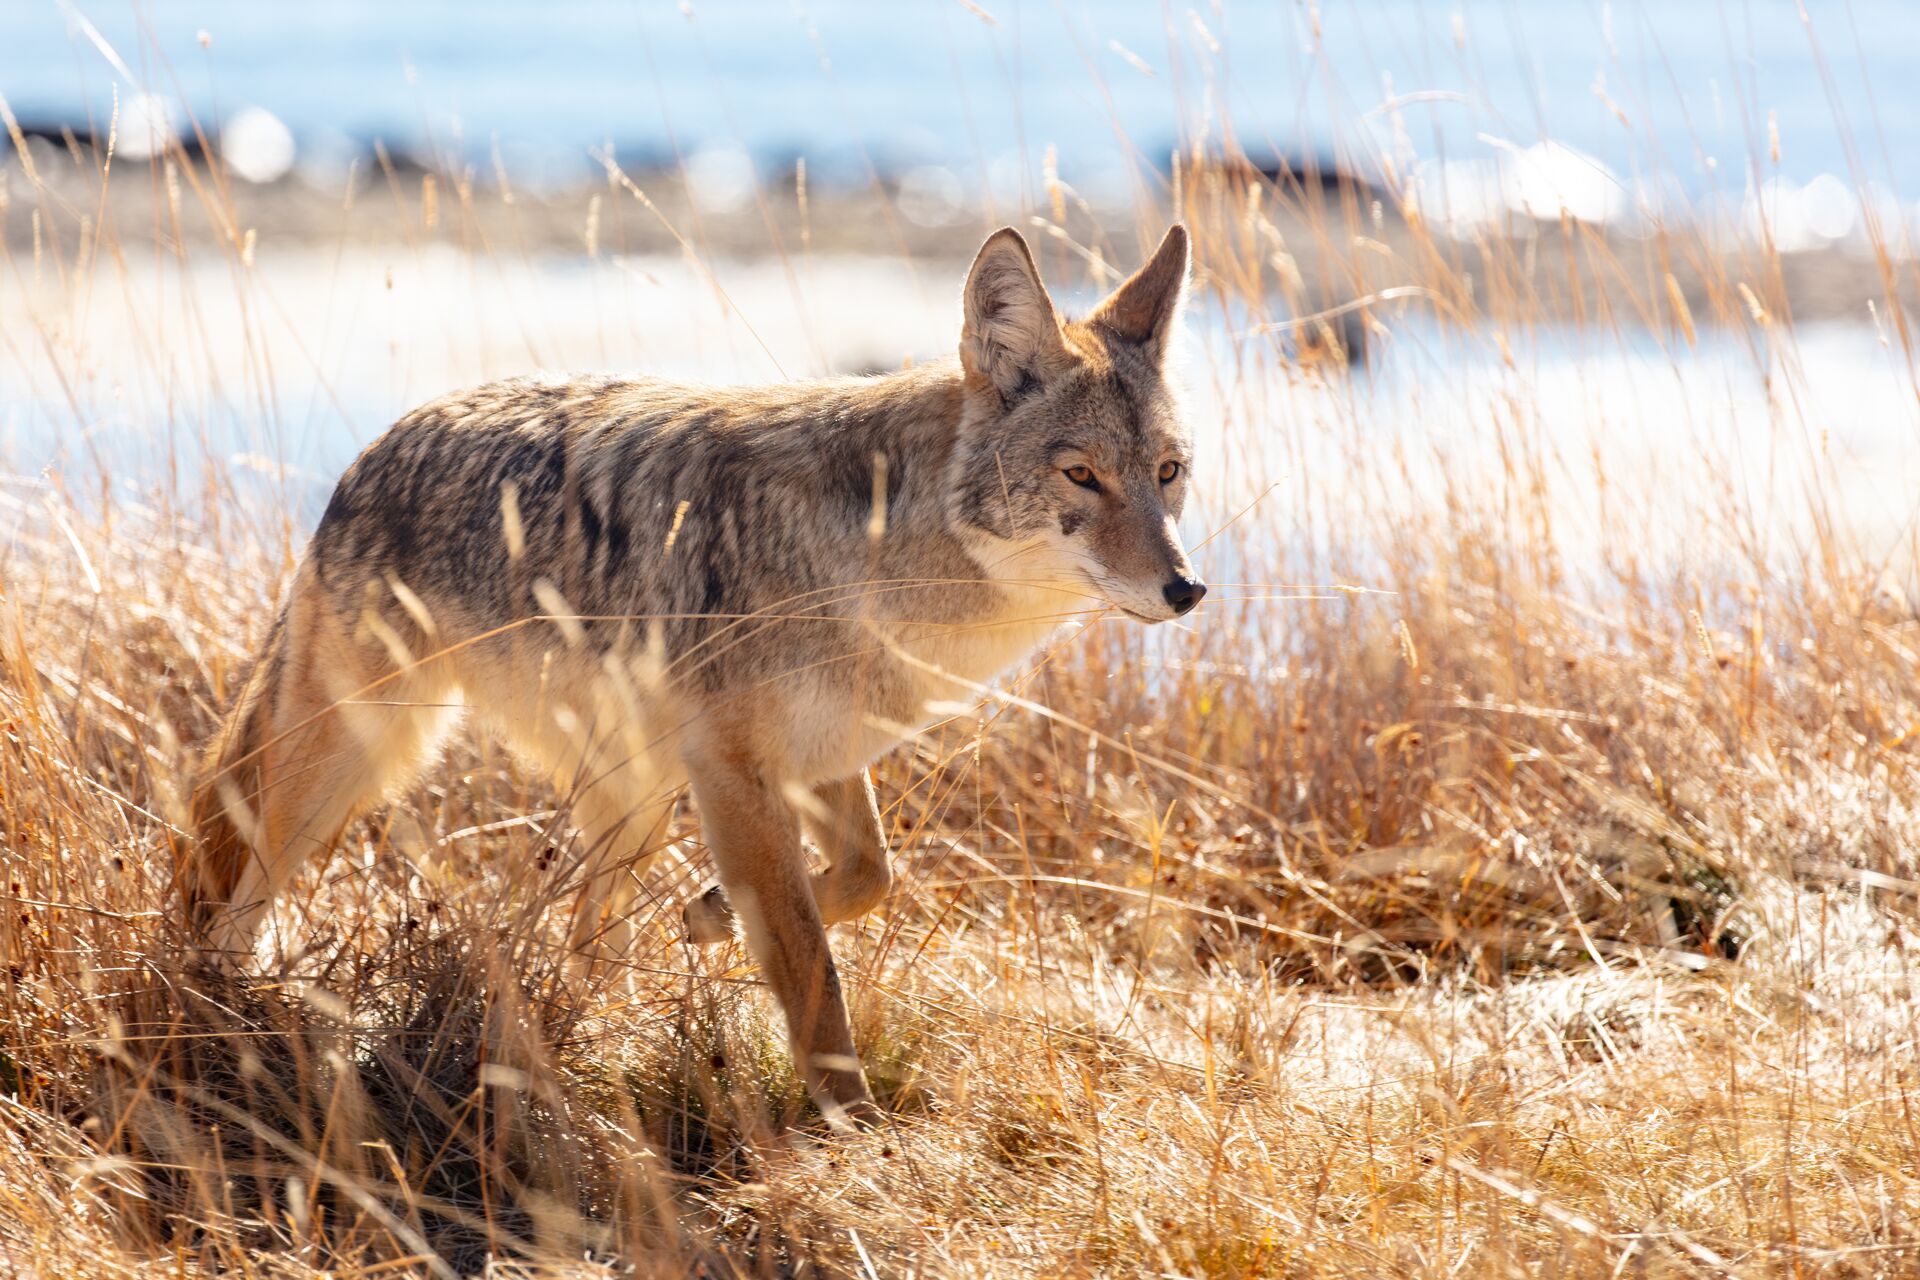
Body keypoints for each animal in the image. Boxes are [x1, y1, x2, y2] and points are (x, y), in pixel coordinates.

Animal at [188, 224, 1205, 1126]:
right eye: (1081, 476)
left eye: (1167, 474)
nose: (1186, 588)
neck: (888, 568)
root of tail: (375, 448)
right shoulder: (734, 774)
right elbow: (810, 968)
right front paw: (855, 1132)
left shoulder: (821, 759)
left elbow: (867, 878)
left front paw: (708, 915)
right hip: (353, 766)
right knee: (233, 897)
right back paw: (221, 1012)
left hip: (628, 805)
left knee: (579, 943)